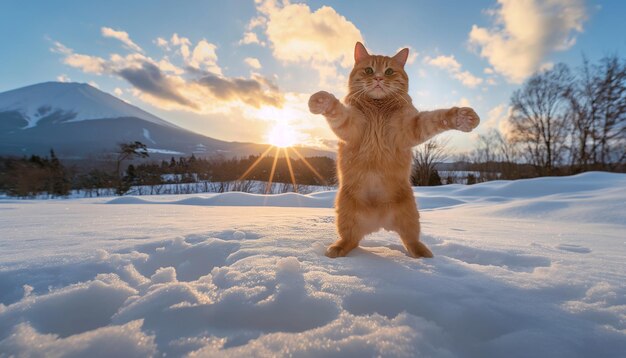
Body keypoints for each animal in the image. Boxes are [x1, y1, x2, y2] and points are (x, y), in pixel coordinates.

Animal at [308, 43, 478, 258]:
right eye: (369, 70)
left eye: (389, 71)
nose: (379, 78)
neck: (378, 108)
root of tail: (378, 222)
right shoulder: (351, 125)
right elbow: (337, 112)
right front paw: (322, 101)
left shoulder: (410, 127)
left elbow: (436, 118)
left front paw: (462, 118)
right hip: (345, 212)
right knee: (351, 239)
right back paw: (337, 248)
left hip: (410, 215)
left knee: (411, 240)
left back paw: (424, 255)